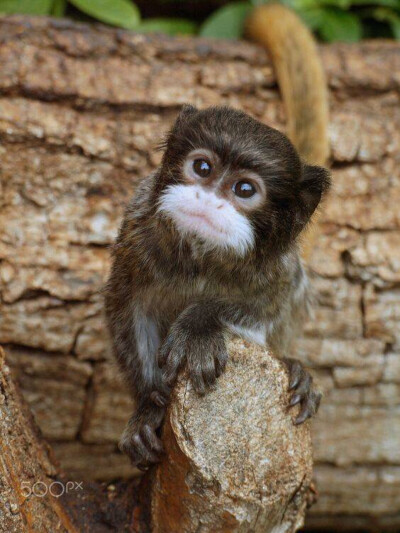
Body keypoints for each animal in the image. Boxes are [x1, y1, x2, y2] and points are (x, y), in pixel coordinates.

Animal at [104, 106, 330, 468]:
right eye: (202, 168)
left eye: (245, 189)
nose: (207, 199)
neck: (203, 257)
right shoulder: (136, 232)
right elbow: (128, 309)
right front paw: (149, 402)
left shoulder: (279, 272)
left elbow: (264, 310)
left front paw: (197, 324)